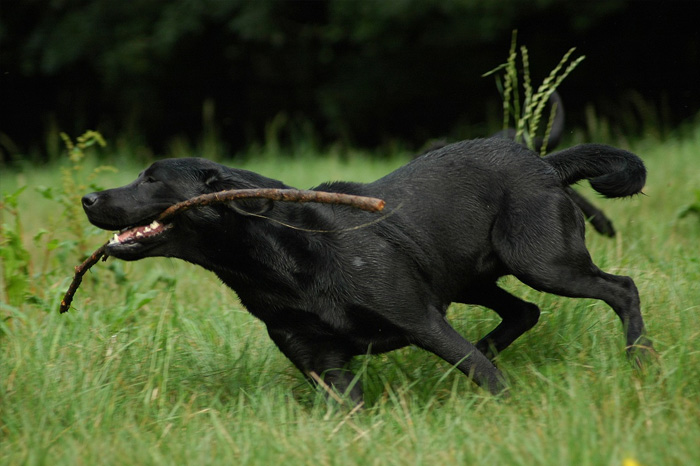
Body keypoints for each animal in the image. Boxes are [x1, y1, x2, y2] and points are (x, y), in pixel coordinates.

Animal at [82, 138, 652, 404]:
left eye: (152, 179)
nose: (87, 198)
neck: (275, 264)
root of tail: (544, 164)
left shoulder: (420, 319)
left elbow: (482, 374)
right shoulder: (325, 368)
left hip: (543, 262)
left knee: (621, 288)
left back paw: (640, 357)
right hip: (473, 281)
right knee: (522, 313)